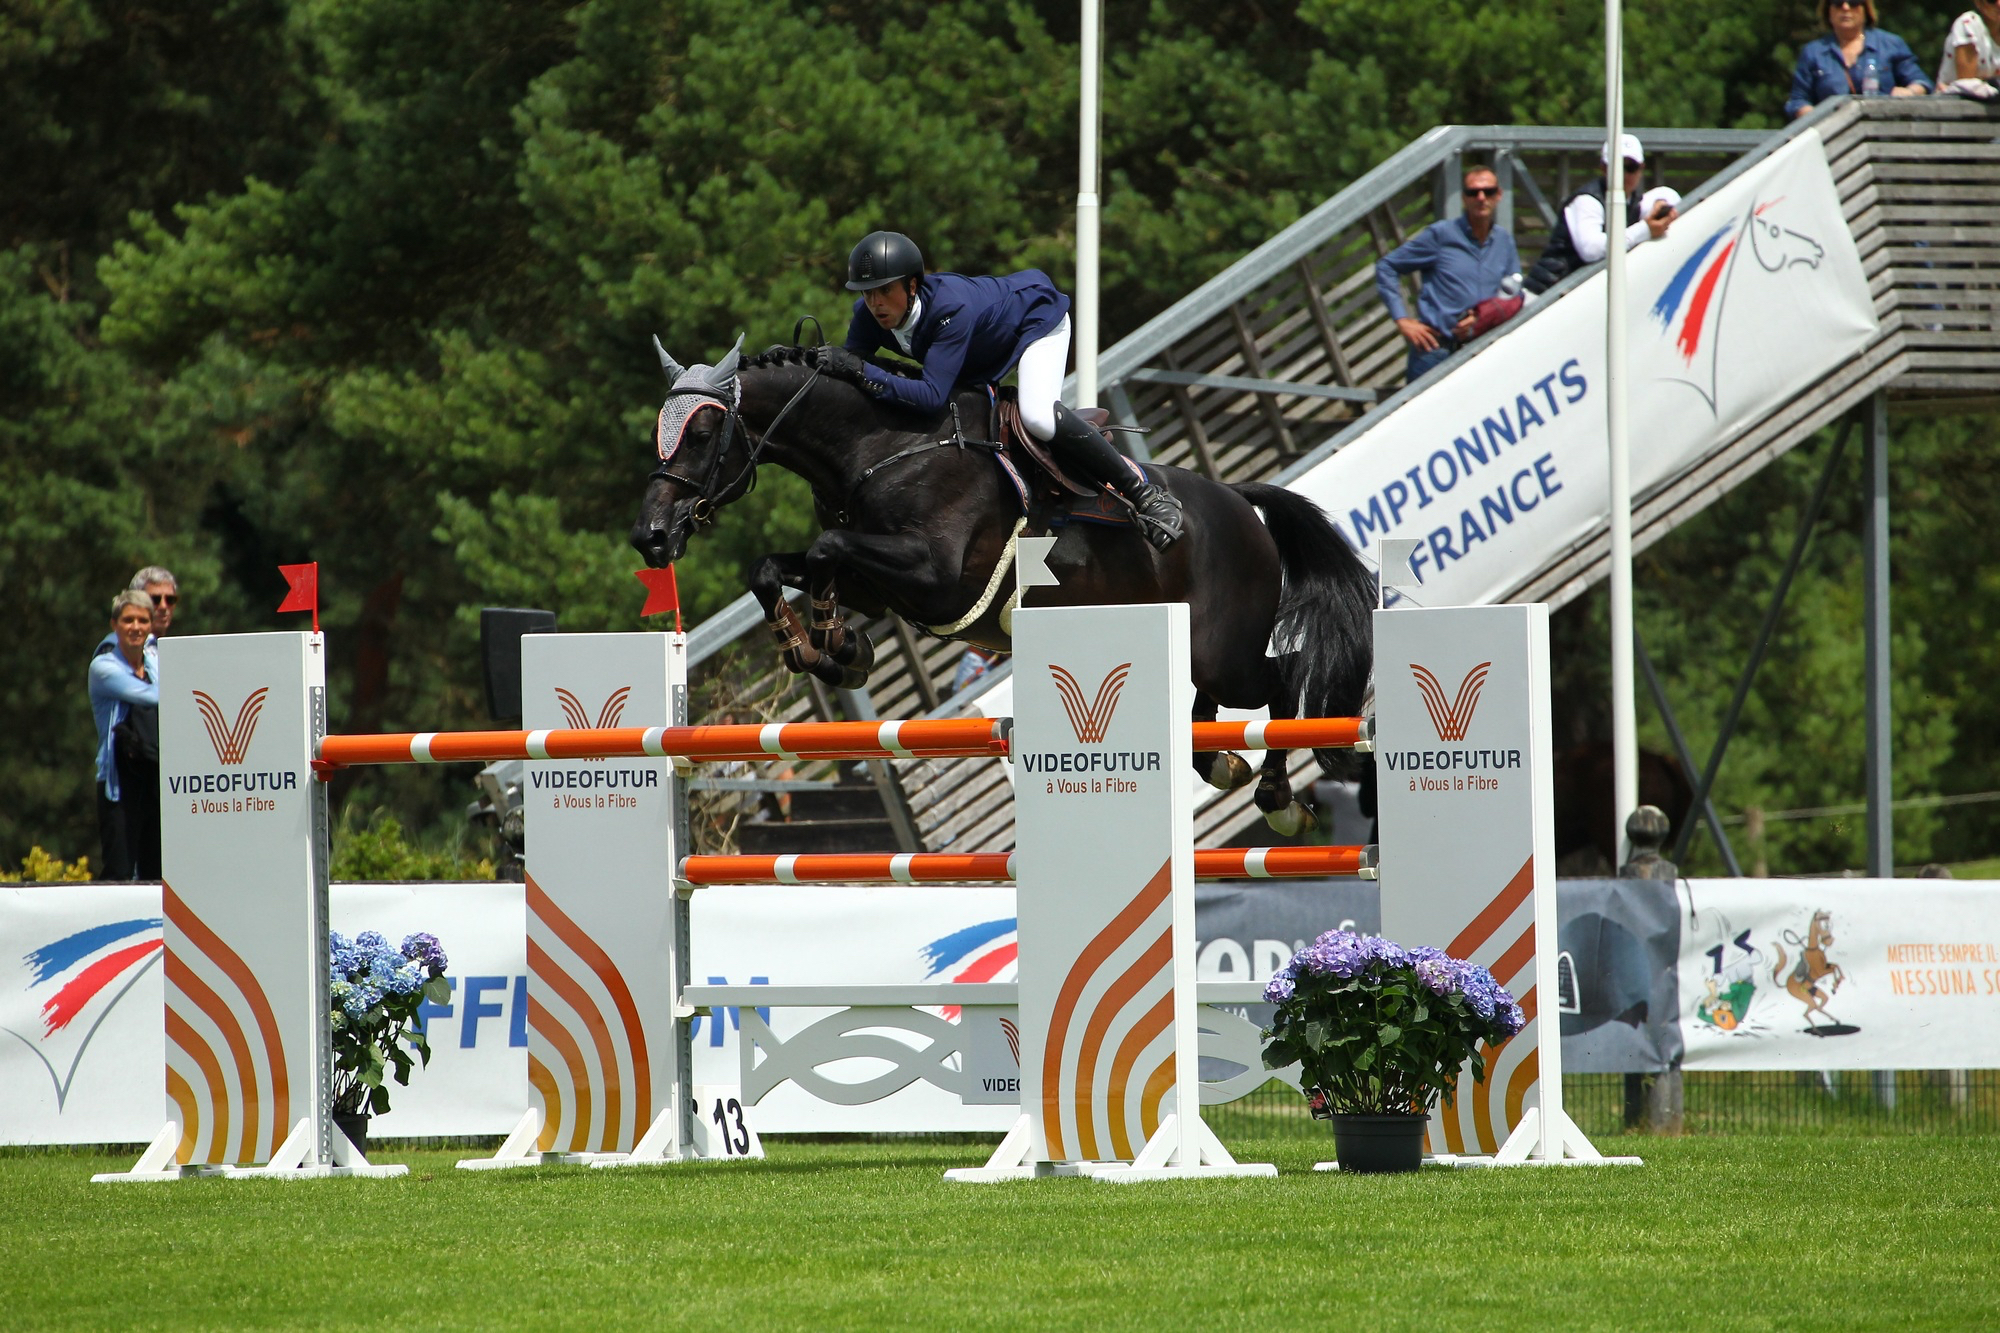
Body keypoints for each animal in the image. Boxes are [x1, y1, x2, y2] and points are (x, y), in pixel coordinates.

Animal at [628, 338, 1376, 824]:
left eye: (701, 435)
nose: (650, 536)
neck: (879, 445)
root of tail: (1239, 500)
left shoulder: (934, 575)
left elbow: (823, 551)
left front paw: (834, 646)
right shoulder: (881, 582)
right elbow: (783, 566)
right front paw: (828, 647)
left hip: (1225, 650)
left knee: (1279, 680)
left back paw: (1277, 800)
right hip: (1188, 640)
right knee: (1207, 707)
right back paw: (1224, 766)